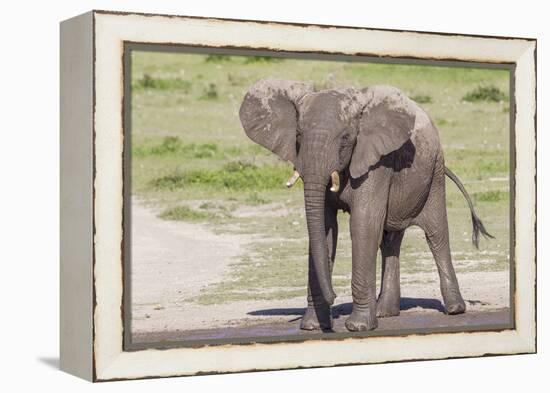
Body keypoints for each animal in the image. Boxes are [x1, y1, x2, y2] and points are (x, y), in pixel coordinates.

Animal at [239, 78, 494, 330]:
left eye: (345, 138)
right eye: (298, 136)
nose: (334, 297)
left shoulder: (377, 162)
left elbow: (363, 224)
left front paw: (358, 326)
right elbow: (325, 228)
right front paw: (312, 326)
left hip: (435, 172)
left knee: (436, 234)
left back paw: (454, 309)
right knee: (390, 241)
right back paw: (385, 313)